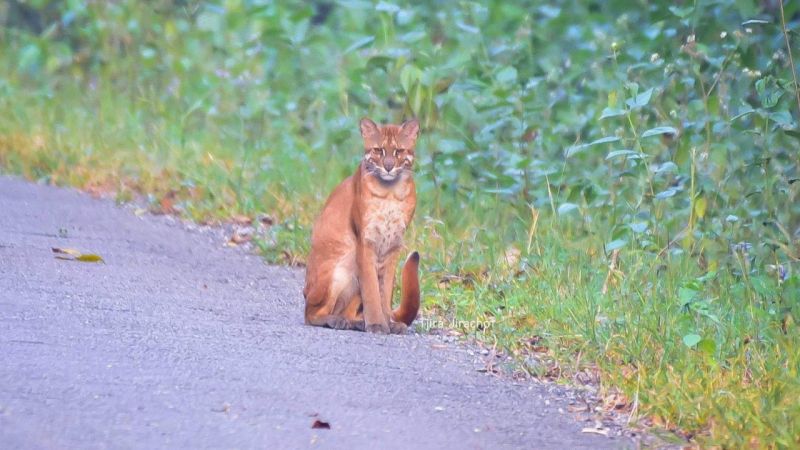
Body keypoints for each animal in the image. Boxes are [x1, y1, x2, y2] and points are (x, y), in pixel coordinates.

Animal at [304, 118, 422, 332]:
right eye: (378, 150)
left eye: (399, 151)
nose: (389, 166)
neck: (391, 192)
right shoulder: (366, 242)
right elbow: (372, 290)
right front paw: (377, 323)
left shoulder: (393, 246)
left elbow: (385, 291)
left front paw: (387, 323)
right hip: (341, 269)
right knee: (310, 312)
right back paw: (335, 320)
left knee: (347, 311)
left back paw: (355, 322)